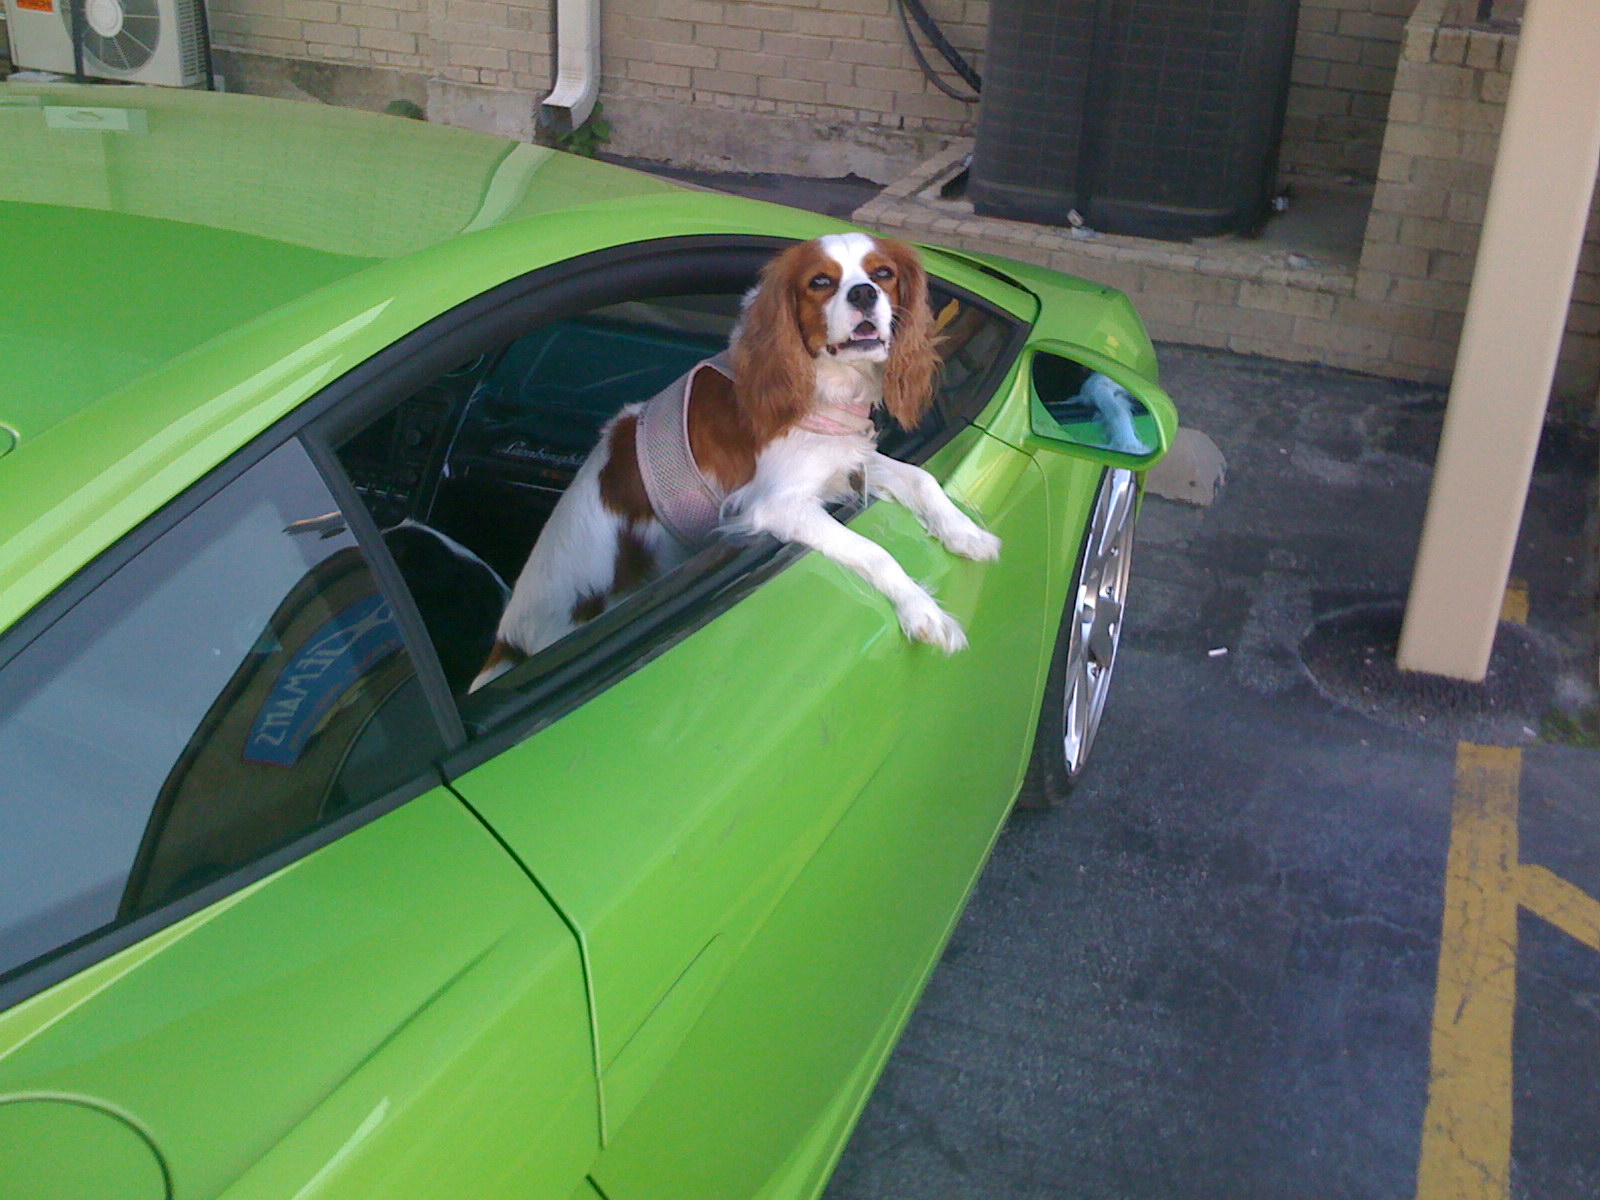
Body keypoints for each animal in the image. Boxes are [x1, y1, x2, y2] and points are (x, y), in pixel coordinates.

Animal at [472, 232, 1001, 690]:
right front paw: (923, 611)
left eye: (883, 273)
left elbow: (921, 479)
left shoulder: (846, 461)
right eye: (821, 282)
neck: (822, 386)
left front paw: (966, 533)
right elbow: (874, 551)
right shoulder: (777, 505)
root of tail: (507, 641)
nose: (865, 293)